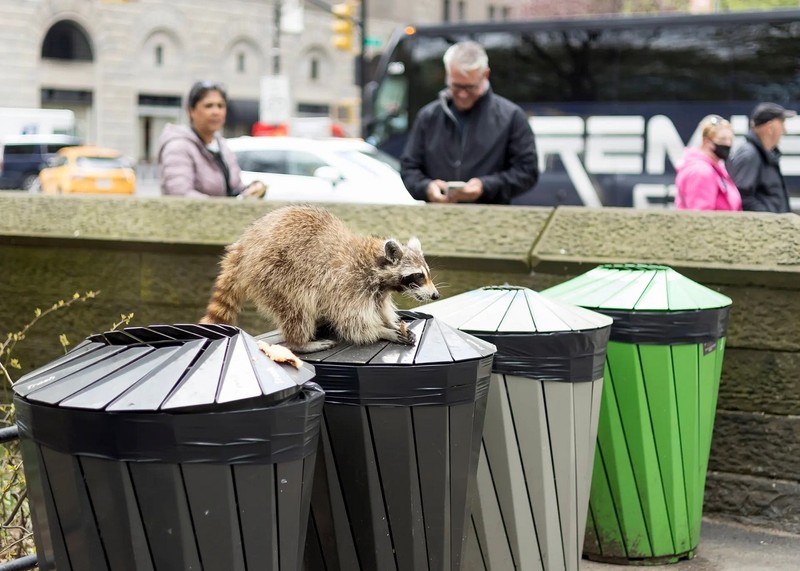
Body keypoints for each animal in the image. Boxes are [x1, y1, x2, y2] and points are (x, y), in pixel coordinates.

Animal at [198, 206, 438, 354]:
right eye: (418, 276)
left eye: (427, 273)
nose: (435, 294)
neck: (373, 264)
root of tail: (244, 244)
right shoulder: (348, 285)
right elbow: (353, 323)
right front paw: (383, 331)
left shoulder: (377, 291)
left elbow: (380, 308)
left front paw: (390, 322)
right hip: (276, 272)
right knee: (297, 307)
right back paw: (300, 342)